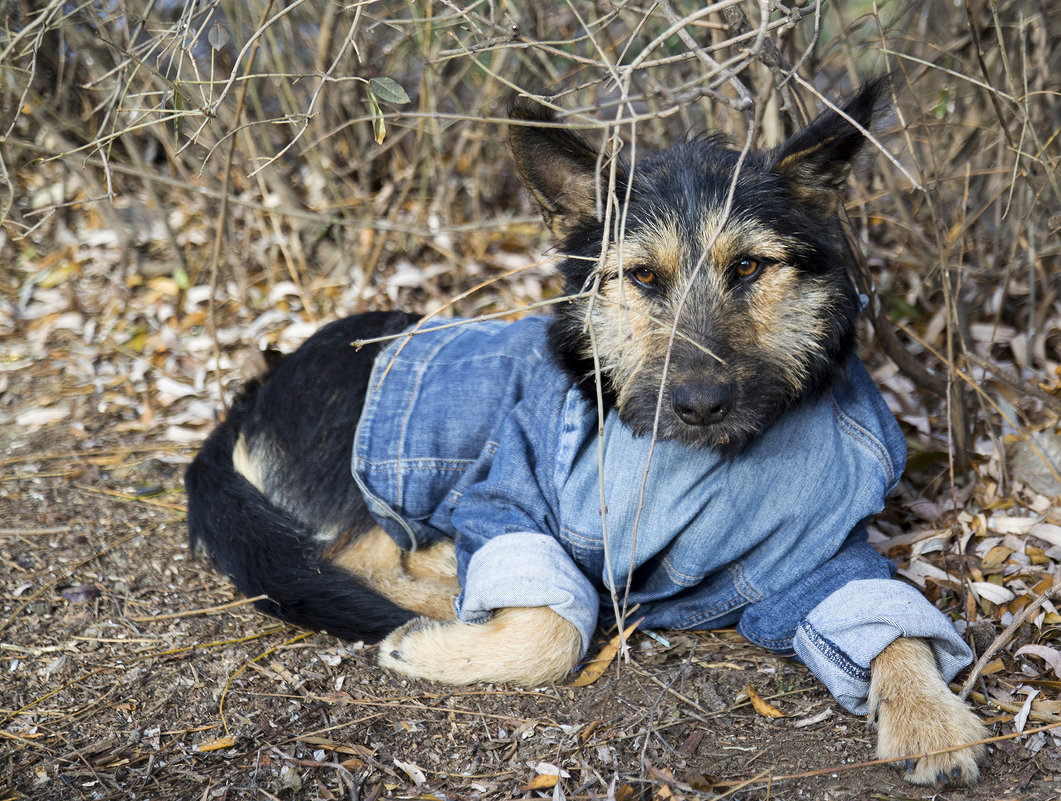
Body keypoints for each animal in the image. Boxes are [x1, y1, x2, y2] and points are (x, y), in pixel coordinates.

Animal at [186, 80, 988, 785]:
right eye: (642, 277)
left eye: (748, 266)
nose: (699, 403)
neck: (694, 468)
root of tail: (251, 395)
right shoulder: (504, 495)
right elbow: (548, 627)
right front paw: (446, 641)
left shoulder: (821, 556)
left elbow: (892, 626)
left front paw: (931, 723)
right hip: (372, 447)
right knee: (352, 554)